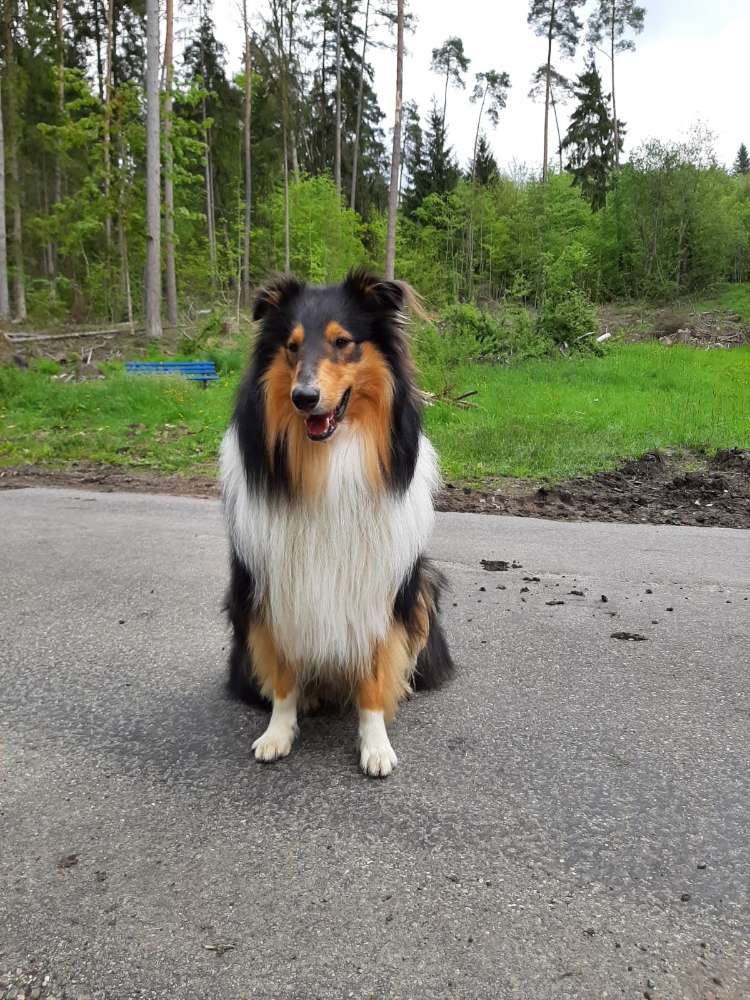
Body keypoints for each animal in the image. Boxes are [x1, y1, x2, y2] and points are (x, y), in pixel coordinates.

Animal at [217, 270, 452, 776]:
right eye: (290, 346)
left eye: (343, 342)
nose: (303, 398)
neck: (330, 462)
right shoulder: (278, 588)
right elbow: (283, 675)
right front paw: (278, 731)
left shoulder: (376, 590)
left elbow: (373, 676)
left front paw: (376, 745)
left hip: (422, 586)